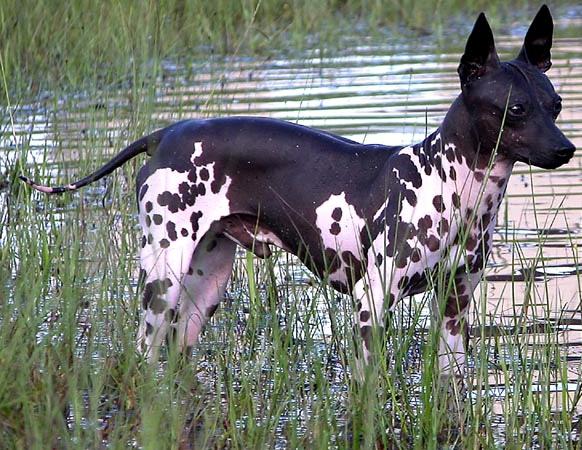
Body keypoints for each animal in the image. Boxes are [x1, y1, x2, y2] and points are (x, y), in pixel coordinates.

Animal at [21, 6, 576, 380]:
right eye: (516, 109)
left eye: (555, 103)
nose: (567, 149)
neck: (451, 185)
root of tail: (168, 134)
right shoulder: (371, 305)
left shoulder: (456, 311)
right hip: (164, 277)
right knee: (142, 351)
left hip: (206, 289)